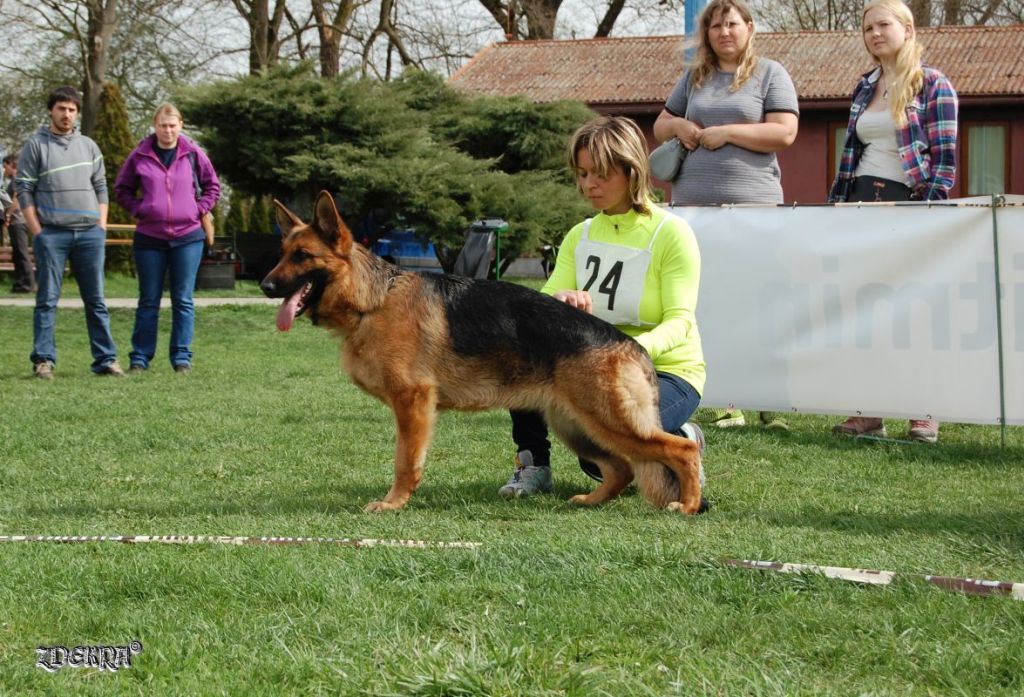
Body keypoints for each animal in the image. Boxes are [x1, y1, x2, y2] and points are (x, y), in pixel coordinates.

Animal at [260, 193, 700, 513]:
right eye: (281, 254)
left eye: (302, 257)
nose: (265, 286)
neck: (374, 299)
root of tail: (633, 347)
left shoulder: (412, 403)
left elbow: (405, 462)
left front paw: (393, 503)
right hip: (577, 426)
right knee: (622, 468)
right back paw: (592, 501)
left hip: (610, 423)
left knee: (683, 449)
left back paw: (688, 505)